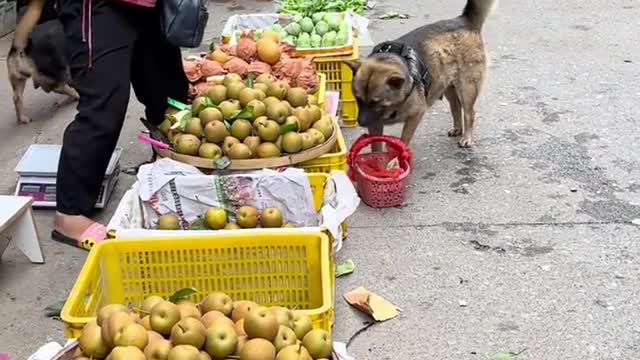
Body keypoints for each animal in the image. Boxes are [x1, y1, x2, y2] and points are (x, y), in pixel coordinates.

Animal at [348, 0, 498, 149]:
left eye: (376, 101)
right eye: (358, 98)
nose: (361, 123)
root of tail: (464, 21)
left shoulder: (416, 115)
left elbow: (404, 139)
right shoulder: (375, 124)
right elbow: (376, 145)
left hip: (467, 88)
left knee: (469, 113)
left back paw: (467, 137)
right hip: (446, 85)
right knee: (456, 107)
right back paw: (457, 129)